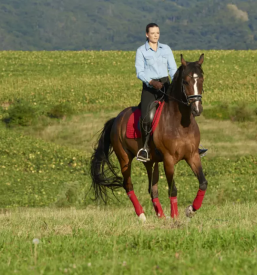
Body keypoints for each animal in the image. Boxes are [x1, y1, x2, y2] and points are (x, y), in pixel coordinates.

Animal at [89, 54, 206, 222]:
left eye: (201, 79)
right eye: (186, 81)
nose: (197, 109)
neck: (180, 123)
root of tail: (117, 118)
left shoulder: (193, 156)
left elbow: (203, 183)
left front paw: (190, 210)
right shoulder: (169, 160)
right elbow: (173, 189)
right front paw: (175, 218)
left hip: (151, 162)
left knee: (152, 189)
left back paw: (161, 216)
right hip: (124, 159)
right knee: (128, 185)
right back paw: (142, 215)